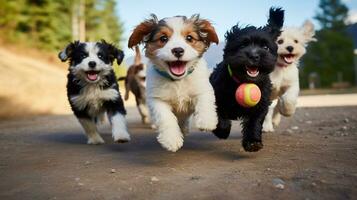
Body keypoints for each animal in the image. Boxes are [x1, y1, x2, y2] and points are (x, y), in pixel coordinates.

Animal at [126, 14, 218, 152]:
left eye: (189, 38)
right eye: (163, 38)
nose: (178, 50)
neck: (177, 81)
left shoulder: (202, 87)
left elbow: (204, 100)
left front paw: (206, 121)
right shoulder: (156, 99)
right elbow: (166, 117)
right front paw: (171, 139)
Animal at [209, 7, 284, 152]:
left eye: (265, 47)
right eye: (242, 46)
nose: (254, 56)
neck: (243, 81)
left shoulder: (261, 104)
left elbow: (254, 122)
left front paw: (253, 142)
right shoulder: (216, 97)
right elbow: (220, 116)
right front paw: (222, 130)